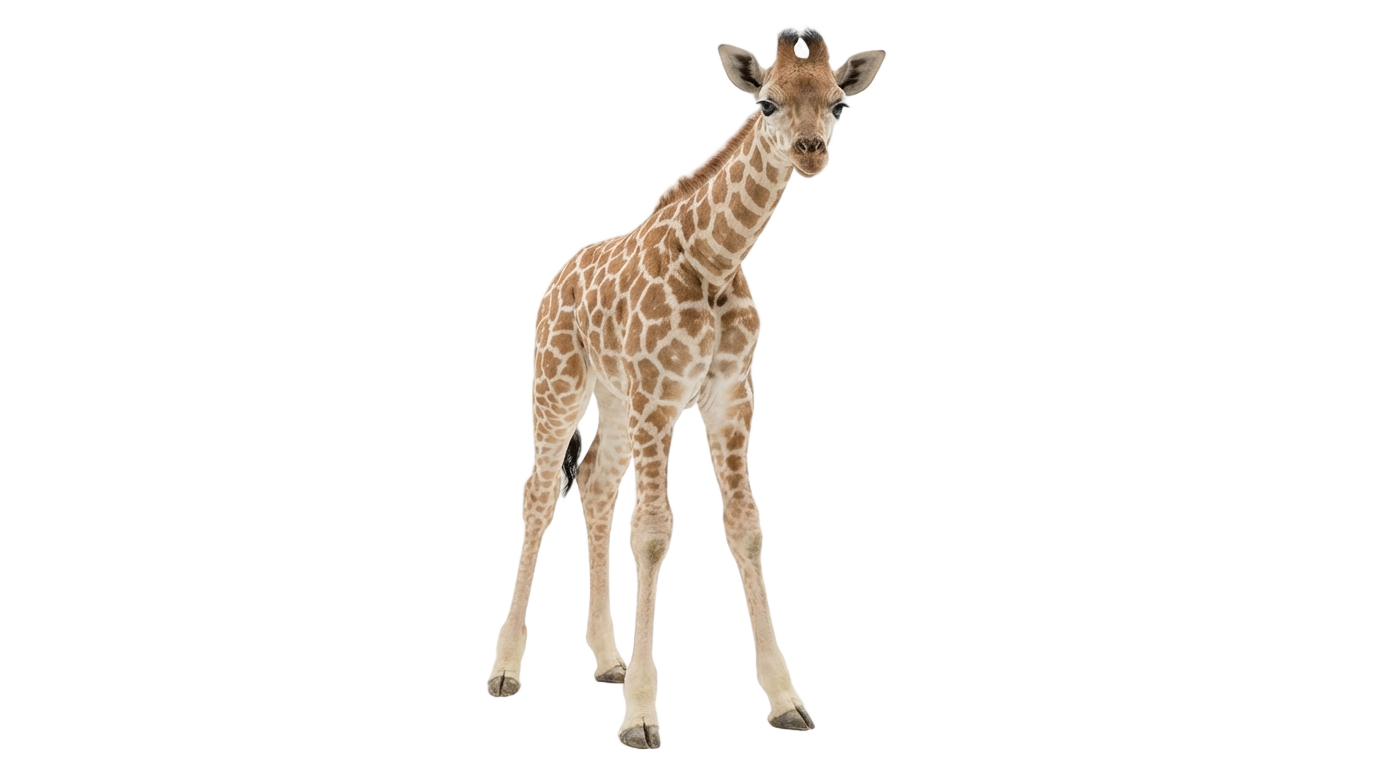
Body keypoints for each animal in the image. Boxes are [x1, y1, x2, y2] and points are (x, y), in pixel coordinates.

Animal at [485, 29, 884, 749]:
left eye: (838, 103)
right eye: (766, 102)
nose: (811, 150)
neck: (717, 261)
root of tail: (556, 281)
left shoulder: (729, 401)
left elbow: (746, 528)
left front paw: (786, 703)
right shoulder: (657, 395)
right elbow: (651, 533)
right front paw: (642, 719)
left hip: (613, 409)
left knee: (593, 496)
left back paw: (606, 661)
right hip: (557, 387)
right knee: (536, 498)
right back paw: (504, 673)